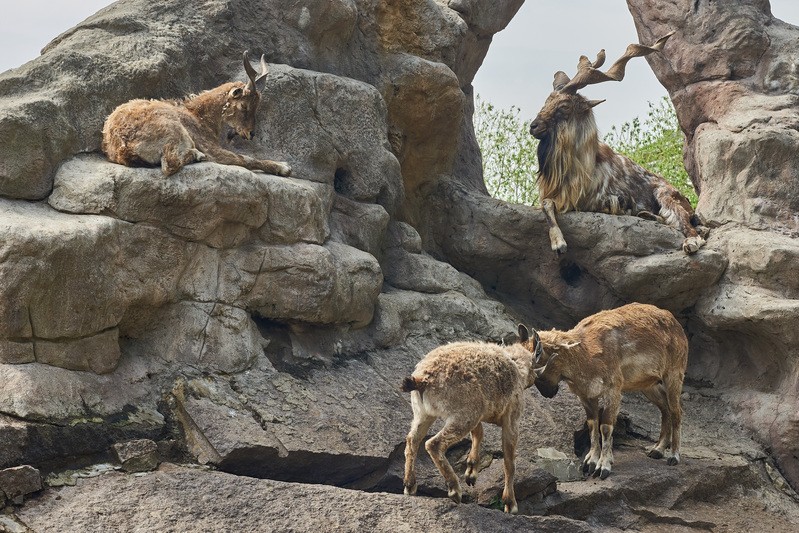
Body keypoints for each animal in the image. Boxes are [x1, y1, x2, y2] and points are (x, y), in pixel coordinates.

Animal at [101, 52, 290, 177]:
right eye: (244, 106)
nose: (251, 133)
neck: (199, 115)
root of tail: (124, 146)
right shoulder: (210, 147)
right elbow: (246, 159)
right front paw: (283, 166)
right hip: (173, 129)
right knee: (170, 164)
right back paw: (197, 155)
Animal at [404, 326, 540, 512]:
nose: (536, 379)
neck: (517, 366)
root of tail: (422, 380)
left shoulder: (479, 413)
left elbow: (478, 433)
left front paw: (471, 472)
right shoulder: (511, 418)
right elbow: (509, 462)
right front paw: (510, 503)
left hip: (424, 413)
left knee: (413, 439)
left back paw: (410, 486)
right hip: (462, 416)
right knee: (433, 444)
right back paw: (454, 489)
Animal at [528, 302, 692, 480]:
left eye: (538, 372)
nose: (547, 393)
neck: (585, 352)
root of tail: (677, 326)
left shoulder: (612, 390)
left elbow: (605, 426)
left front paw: (603, 467)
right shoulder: (587, 395)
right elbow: (592, 425)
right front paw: (590, 462)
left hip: (673, 375)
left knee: (676, 411)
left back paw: (673, 456)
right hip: (649, 386)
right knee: (665, 409)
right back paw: (657, 450)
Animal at [532, 31, 708, 256]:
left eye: (564, 106)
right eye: (547, 101)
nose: (533, 126)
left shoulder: (586, 200)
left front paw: (560, 244)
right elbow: (546, 203)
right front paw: (558, 242)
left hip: (665, 195)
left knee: (689, 226)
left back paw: (690, 241)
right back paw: (645, 215)